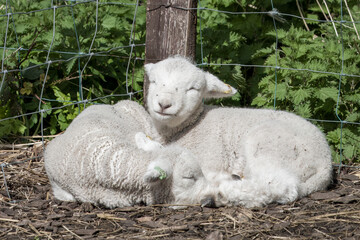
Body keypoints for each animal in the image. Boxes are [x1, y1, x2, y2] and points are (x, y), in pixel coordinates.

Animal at [145, 55, 334, 208]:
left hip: (269, 145)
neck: (192, 124)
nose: (164, 104)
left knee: (279, 186)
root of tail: (326, 165)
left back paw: (218, 195)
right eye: (153, 81)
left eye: (193, 89)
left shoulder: (210, 159)